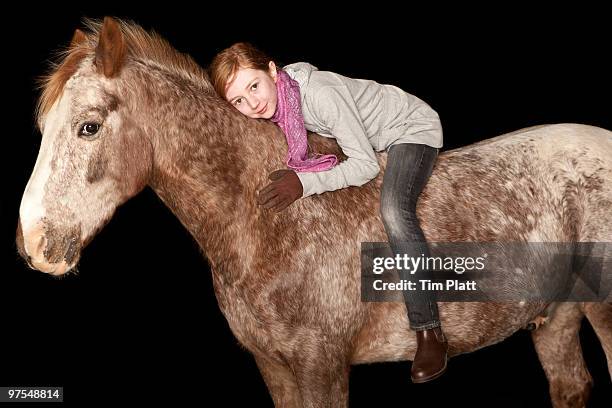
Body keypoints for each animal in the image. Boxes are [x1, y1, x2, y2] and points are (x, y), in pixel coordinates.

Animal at [15, 17, 612, 406]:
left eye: (88, 126)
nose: (34, 244)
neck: (271, 225)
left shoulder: (321, 366)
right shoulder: (275, 368)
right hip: (555, 319)